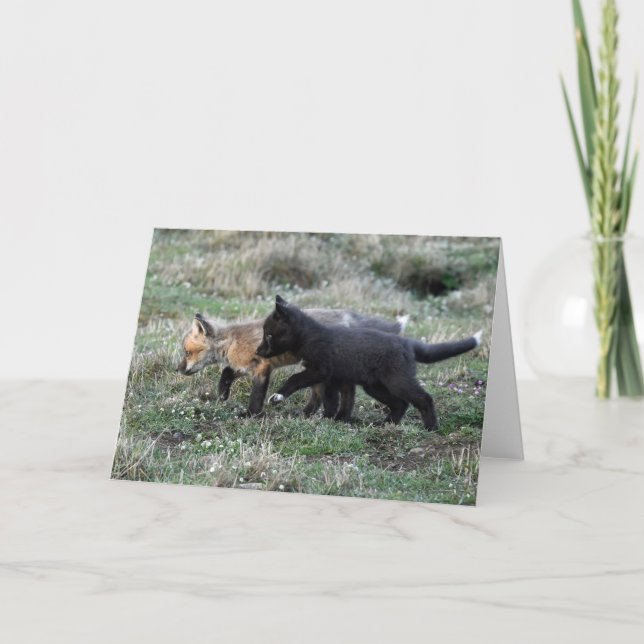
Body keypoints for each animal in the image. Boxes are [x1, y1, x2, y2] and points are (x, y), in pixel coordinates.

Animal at [176, 309, 407, 417]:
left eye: (187, 352)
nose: (177, 369)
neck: (232, 341)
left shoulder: (262, 367)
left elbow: (256, 395)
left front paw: (251, 414)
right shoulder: (244, 365)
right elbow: (226, 371)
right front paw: (223, 393)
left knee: (339, 391)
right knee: (326, 394)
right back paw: (315, 414)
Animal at [256, 295, 482, 431]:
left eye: (268, 335)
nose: (258, 351)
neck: (307, 336)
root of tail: (407, 342)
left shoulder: (320, 370)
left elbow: (294, 379)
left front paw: (277, 396)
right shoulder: (331, 378)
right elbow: (331, 401)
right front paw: (330, 419)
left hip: (397, 380)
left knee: (423, 398)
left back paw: (431, 427)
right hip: (375, 386)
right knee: (400, 403)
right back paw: (386, 424)